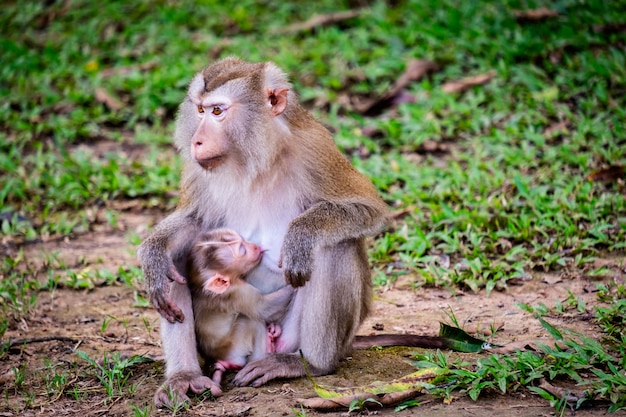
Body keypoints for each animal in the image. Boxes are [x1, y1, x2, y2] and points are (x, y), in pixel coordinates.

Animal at [185, 229, 292, 386]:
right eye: (242, 250)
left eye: (243, 240)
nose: (256, 246)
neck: (201, 288)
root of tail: (221, 359)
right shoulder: (236, 292)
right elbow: (262, 308)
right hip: (235, 348)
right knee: (250, 320)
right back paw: (267, 348)